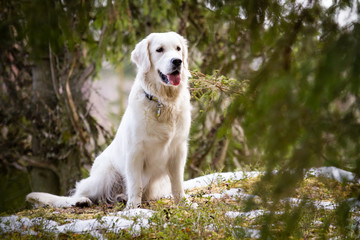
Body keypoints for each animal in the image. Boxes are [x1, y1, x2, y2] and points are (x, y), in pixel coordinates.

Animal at [25, 31, 193, 208]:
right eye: (159, 50)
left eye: (178, 49)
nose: (177, 61)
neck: (162, 102)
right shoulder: (135, 151)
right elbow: (136, 184)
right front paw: (133, 208)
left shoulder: (178, 149)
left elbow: (177, 182)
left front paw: (183, 202)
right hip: (104, 175)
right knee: (77, 192)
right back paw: (81, 200)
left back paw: (121, 197)